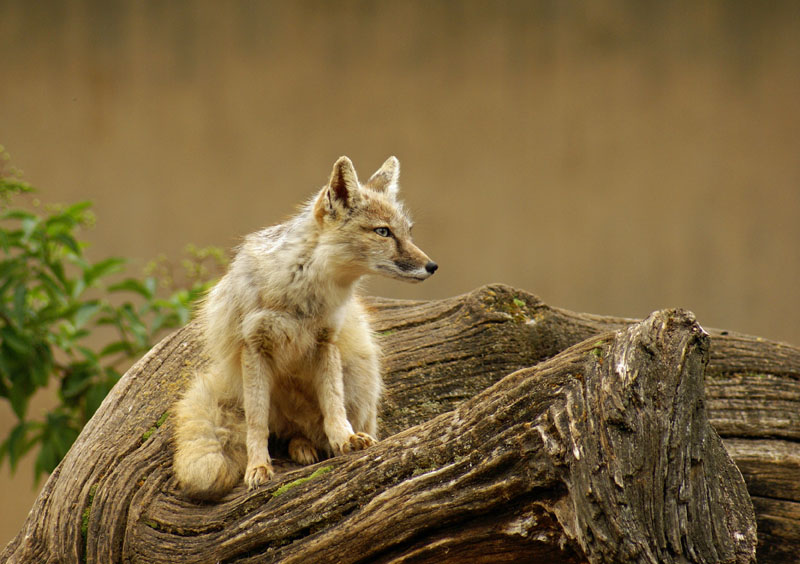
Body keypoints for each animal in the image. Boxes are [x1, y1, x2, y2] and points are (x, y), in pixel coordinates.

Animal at [170, 153, 438, 498]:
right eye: (383, 232)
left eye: (407, 232)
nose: (432, 266)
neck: (302, 295)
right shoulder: (254, 348)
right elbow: (256, 423)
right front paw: (258, 467)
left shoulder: (326, 342)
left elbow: (333, 404)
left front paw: (344, 439)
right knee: (287, 431)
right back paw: (301, 447)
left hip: (362, 373)